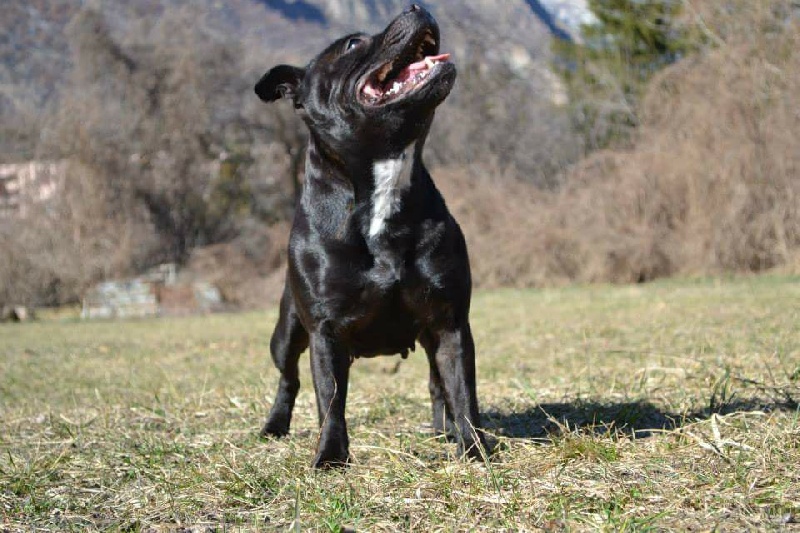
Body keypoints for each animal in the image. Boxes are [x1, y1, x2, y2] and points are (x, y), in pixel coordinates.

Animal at [256, 6, 484, 468]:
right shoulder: (325, 332)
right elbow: (330, 400)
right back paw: (275, 426)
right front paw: (329, 457)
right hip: (286, 332)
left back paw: (445, 431)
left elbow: (462, 391)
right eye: (351, 44)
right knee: (288, 378)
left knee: (437, 384)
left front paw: (473, 448)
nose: (417, 6)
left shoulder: (449, 323)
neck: (385, 178)